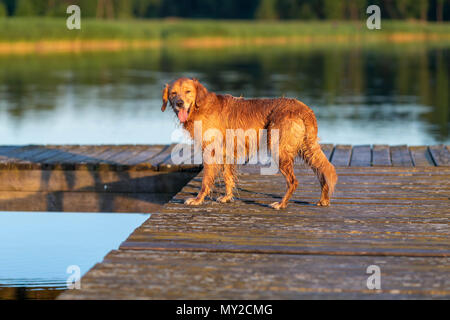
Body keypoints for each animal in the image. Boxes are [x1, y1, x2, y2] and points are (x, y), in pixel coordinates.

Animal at [160, 77, 336, 210]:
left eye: (188, 91)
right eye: (173, 93)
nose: (179, 103)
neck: (200, 106)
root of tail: (304, 109)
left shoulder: (211, 151)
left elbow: (205, 181)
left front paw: (197, 200)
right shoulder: (226, 151)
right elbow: (228, 177)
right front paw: (227, 197)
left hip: (279, 148)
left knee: (293, 181)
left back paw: (281, 204)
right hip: (306, 148)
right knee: (324, 169)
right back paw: (324, 199)